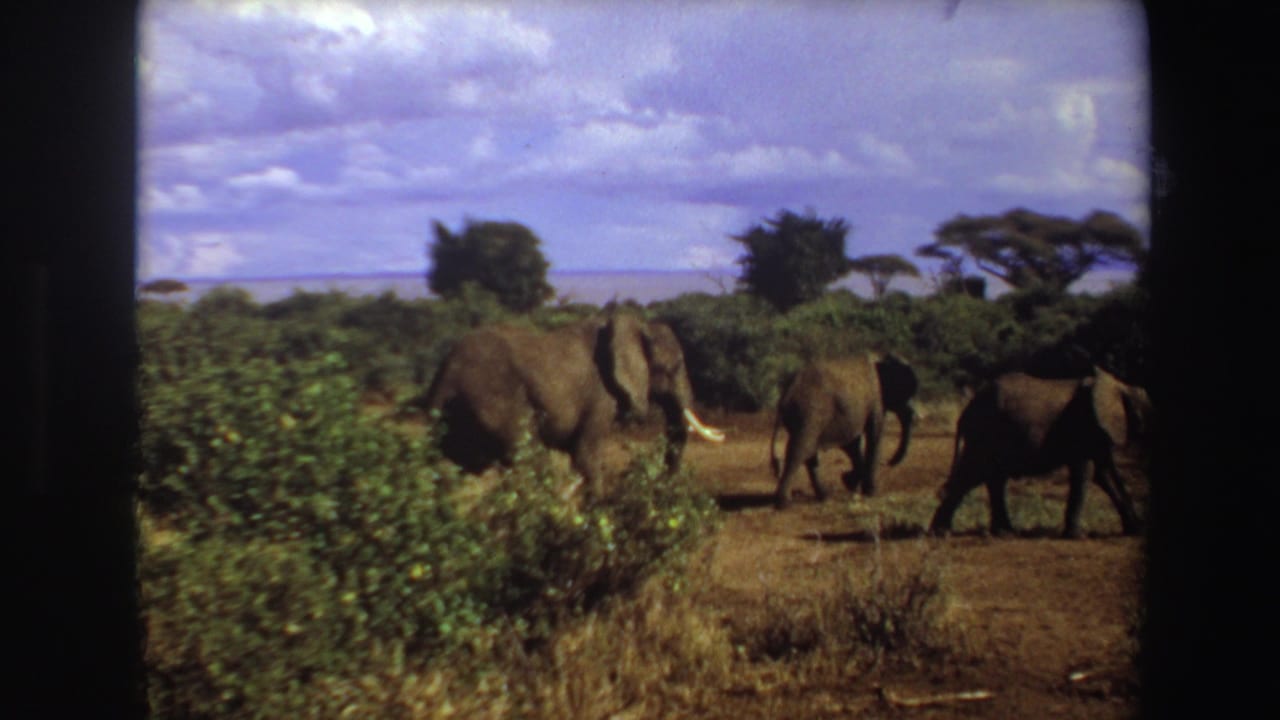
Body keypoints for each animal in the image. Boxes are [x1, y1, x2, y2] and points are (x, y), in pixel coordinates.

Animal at [419, 312, 724, 498]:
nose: (661, 487)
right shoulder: (600, 396)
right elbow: (585, 454)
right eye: (675, 367)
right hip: (494, 401)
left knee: (451, 469)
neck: (635, 326)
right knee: (526, 456)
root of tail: (445, 375)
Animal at [770, 352, 919, 509]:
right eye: (905, 396)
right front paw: (871, 493)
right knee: (801, 450)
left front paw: (849, 482)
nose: (887, 462)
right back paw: (784, 503)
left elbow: (853, 444)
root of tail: (786, 393)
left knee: (809, 453)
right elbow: (874, 436)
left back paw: (825, 496)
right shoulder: (876, 400)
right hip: (810, 412)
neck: (883, 358)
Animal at [929, 367, 1152, 539]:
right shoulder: (1084, 427)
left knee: (989, 477)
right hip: (985, 433)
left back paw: (1001, 533)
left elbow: (1104, 474)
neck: (1121, 386)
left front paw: (1136, 530)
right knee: (975, 474)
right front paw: (1078, 536)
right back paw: (942, 533)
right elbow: (1085, 473)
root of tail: (966, 412)